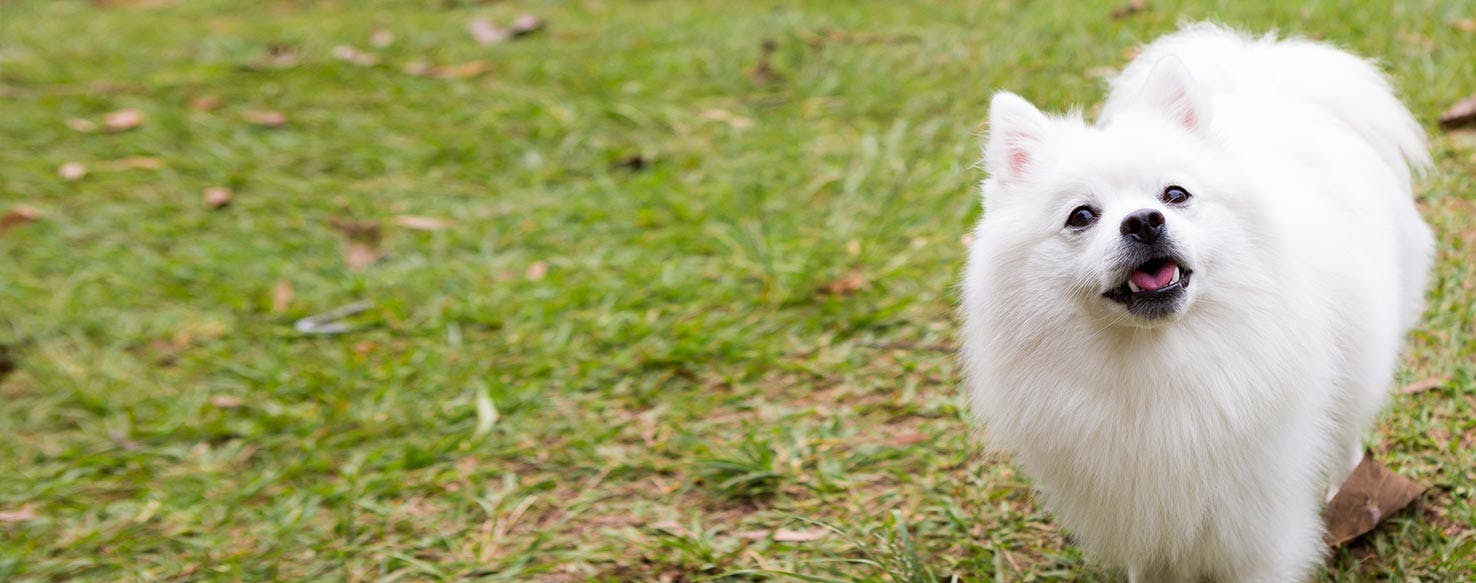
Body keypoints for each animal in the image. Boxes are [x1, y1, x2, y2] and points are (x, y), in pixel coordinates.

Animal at [956, 25, 1428, 581]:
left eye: (1175, 194)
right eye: (1081, 216)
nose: (1144, 221)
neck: (1154, 364)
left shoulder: (1253, 523)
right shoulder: (1143, 520)